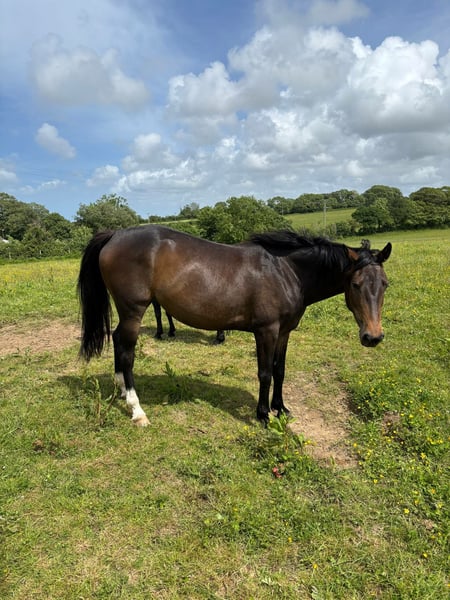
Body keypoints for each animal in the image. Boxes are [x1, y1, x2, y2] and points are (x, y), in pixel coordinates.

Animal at [78, 226, 391, 427]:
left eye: (385, 284)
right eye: (355, 284)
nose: (373, 337)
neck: (286, 272)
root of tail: (115, 235)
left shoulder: (284, 332)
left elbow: (280, 370)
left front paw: (281, 408)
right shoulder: (266, 331)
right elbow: (265, 373)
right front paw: (263, 415)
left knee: (118, 341)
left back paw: (121, 391)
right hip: (133, 311)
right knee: (127, 350)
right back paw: (136, 409)